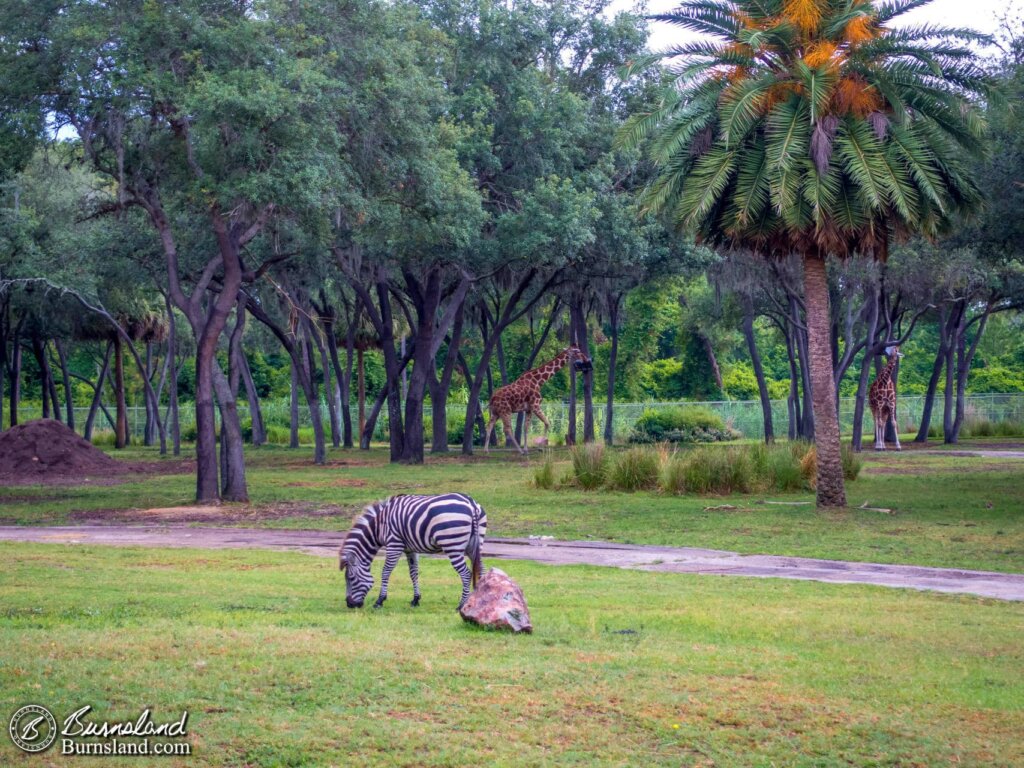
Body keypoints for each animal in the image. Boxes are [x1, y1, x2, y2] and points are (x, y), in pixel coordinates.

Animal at [339, 493, 487, 614]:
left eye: (351, 578)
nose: (349, 605)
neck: (379, 527)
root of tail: (471, 503)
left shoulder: (394, 544)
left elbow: (386, 571)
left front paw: (380, 601)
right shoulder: (410, 549)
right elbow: (413, 573)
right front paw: (416, 599)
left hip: (452, 545)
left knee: (466, 574)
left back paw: (460, 605)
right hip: (475, 545)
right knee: (482, 570)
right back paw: (481, 601)